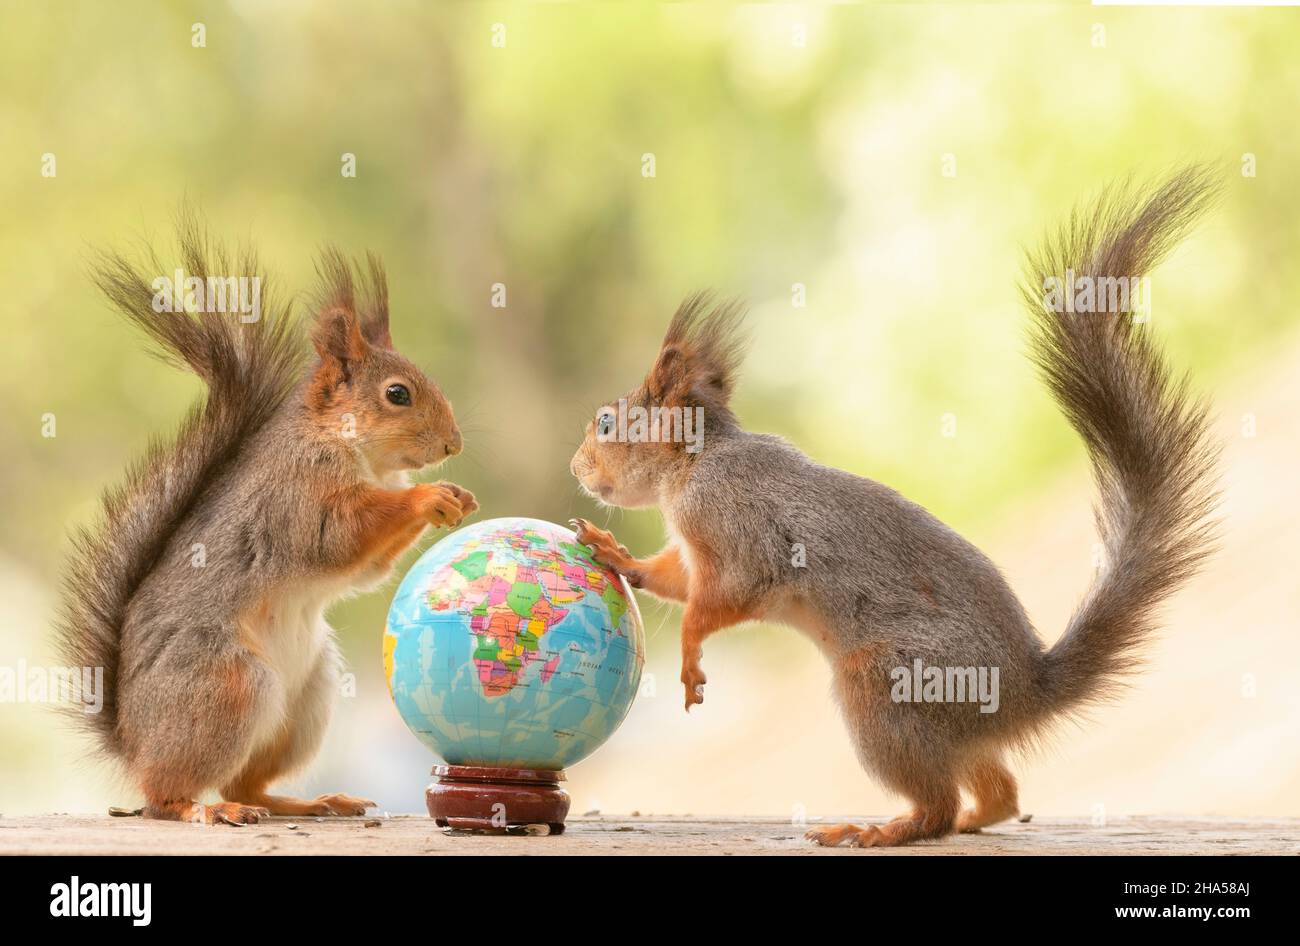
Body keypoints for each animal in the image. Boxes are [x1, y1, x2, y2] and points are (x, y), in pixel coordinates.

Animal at [56, 217, 477, 825]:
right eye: (397, 394)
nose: (453, 444)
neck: (354, 452)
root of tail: (133, 741)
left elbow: (366, 569)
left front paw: (457, 496)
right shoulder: (296, 498)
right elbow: (338, 537)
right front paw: (429, 496)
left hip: (306, 703)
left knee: (247, 784)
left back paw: (312, 801)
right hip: (227, 689)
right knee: (165, 794)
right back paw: (203, 811)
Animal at [569, 167, 1221, 847]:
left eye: (608, 424)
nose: (575, 468)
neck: (695, 465)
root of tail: (1024, 695)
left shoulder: (738, 527)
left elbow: (720, 598)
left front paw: (691, 658)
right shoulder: (696, 547)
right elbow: (674, 576)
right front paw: (616, 553)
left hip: (887, 684)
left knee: (936, 802)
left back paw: (882, 829)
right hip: (941, 726)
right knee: (998, 790)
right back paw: (973, 816)